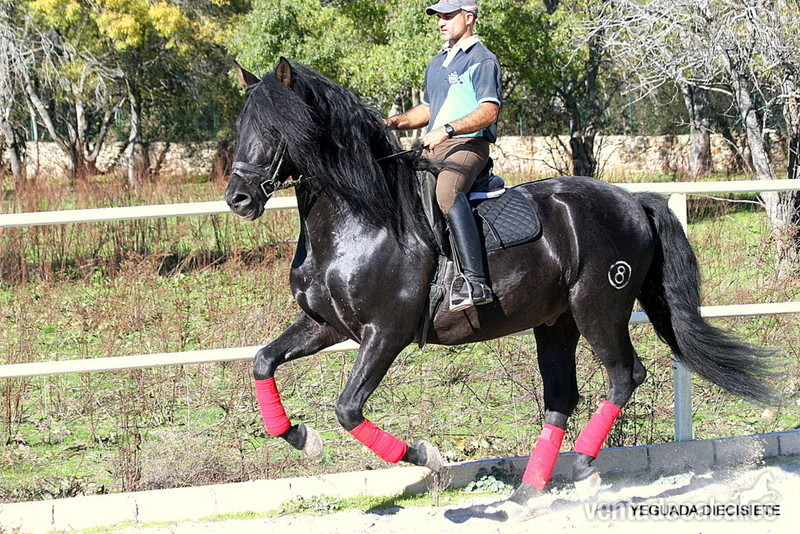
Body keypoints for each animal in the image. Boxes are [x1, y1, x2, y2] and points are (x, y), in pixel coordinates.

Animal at [224, 58, 775, 520]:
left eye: (278, 128)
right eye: (240, 125)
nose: (239, 198)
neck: (363, 220)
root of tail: (632, 200)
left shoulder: (385, 333)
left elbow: (347, 408)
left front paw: (429, 456)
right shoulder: (326, 324)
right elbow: (263, 361)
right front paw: (302, 437)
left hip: (598, 308)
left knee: (625, 375)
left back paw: (583, 470)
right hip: (556, 322)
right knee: (562, 397)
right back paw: (528, 492)